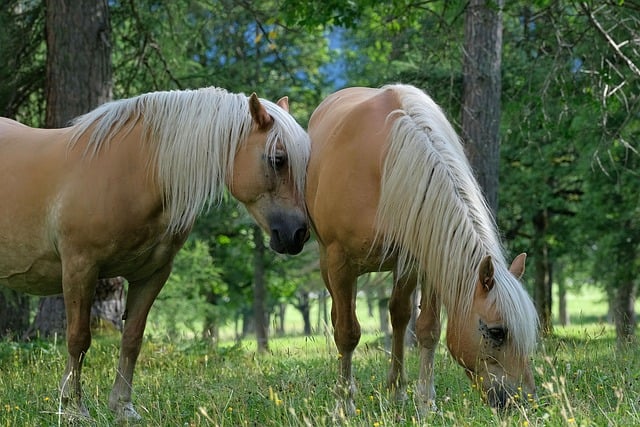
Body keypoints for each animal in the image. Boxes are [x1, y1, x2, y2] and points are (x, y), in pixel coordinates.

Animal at [0, 86, 311, 421]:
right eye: (278, 159)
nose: (298, 234)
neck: (132, 171)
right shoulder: (79, 268)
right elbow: (78, 339)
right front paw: (73, 409)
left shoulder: (151, 274)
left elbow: (132, 340)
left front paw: (123, 408)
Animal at [305, 84, 539, 416]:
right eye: (497, 332)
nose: (525, 402)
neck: (386, 165)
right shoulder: (340, 262)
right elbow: (347, 333)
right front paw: (344, 405)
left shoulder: (426, 258)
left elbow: (428, 329)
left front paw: (426, 403)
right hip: (330, 265)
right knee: (342, 317)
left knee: (399, 316)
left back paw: (397, 392)